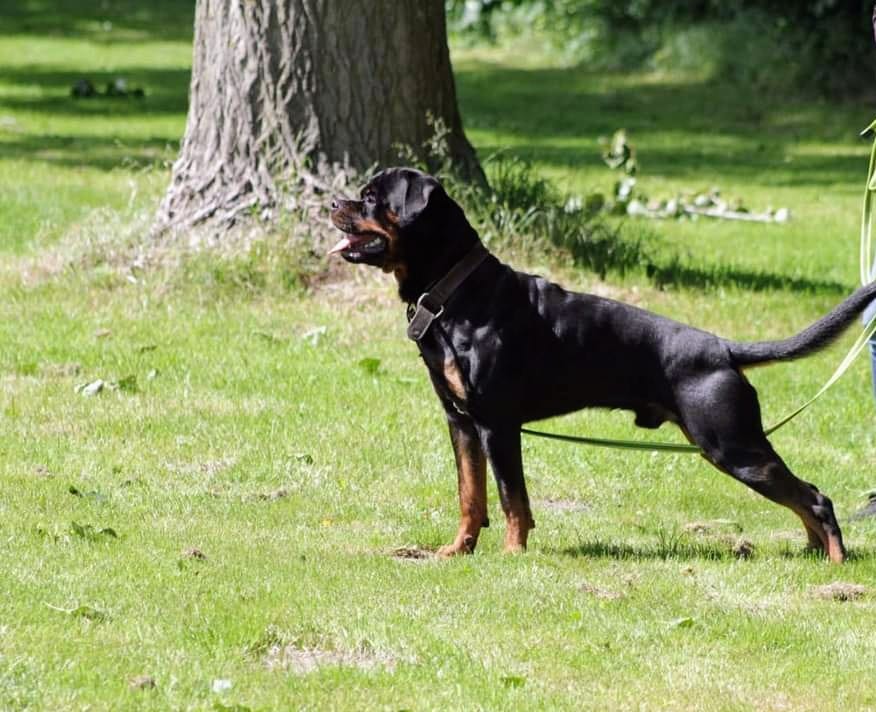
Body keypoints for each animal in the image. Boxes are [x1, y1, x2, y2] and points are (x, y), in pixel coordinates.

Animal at [330, 167, 876, 562]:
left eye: (371, 198)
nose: (335, 203)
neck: (454, 295)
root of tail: (722, 348)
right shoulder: (461, 423)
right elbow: (471, 496)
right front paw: (458, 550)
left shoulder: (498, 425)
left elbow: (511, 499)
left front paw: (512, 554)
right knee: (803, 497)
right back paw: (811, 551)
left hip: (731, 444)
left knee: (815, 497)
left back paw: (835, 562)